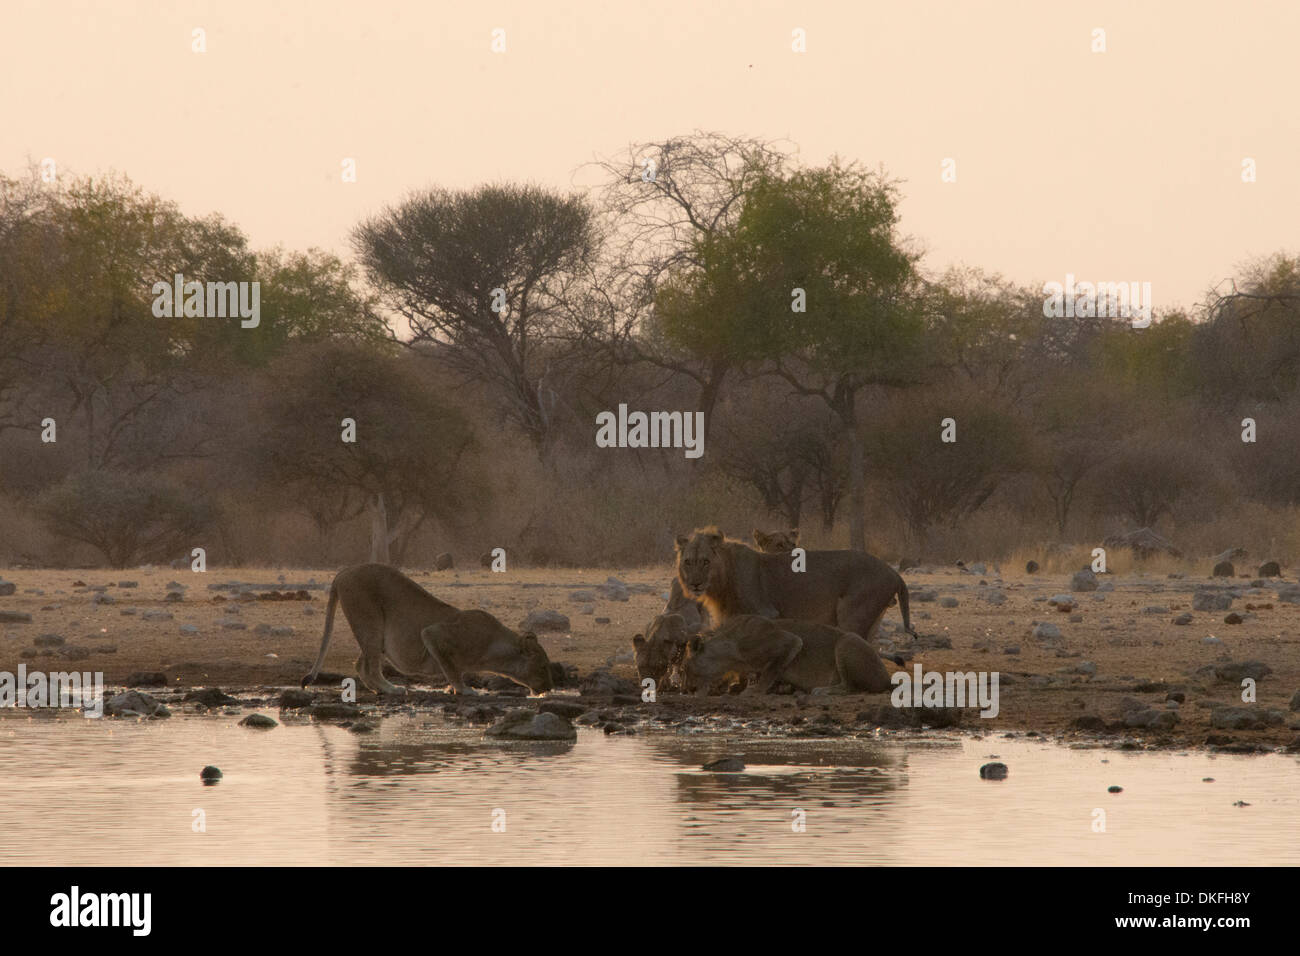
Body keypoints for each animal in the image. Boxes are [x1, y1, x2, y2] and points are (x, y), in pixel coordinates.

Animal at [301, 563, 554, 696]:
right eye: (543, 666)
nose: (550, 688)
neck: (494, 651)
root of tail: (343, 572)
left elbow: (454, 669)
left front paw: (453, 689)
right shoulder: (434, 634)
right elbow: (451, 668)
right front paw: (465, 690)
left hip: (374, 634)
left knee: (360, 664)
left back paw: (381, 690)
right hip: (369, 620)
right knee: (369, 666)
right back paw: (391, 688)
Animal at [675, 527, 917, 642]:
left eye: (705, 561)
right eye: (688, 562)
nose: (695, 584)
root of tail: (894, 573)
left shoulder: (766, 613)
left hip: (853, 613)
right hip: (872, 619)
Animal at [681, 615, 894, 696]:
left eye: (684, 668)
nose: (686, 690)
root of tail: (886, 677)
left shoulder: (789, 641)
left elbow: (770, 671)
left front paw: (755, 690)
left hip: (847, 641)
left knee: (850, 687)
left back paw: (821, 690)